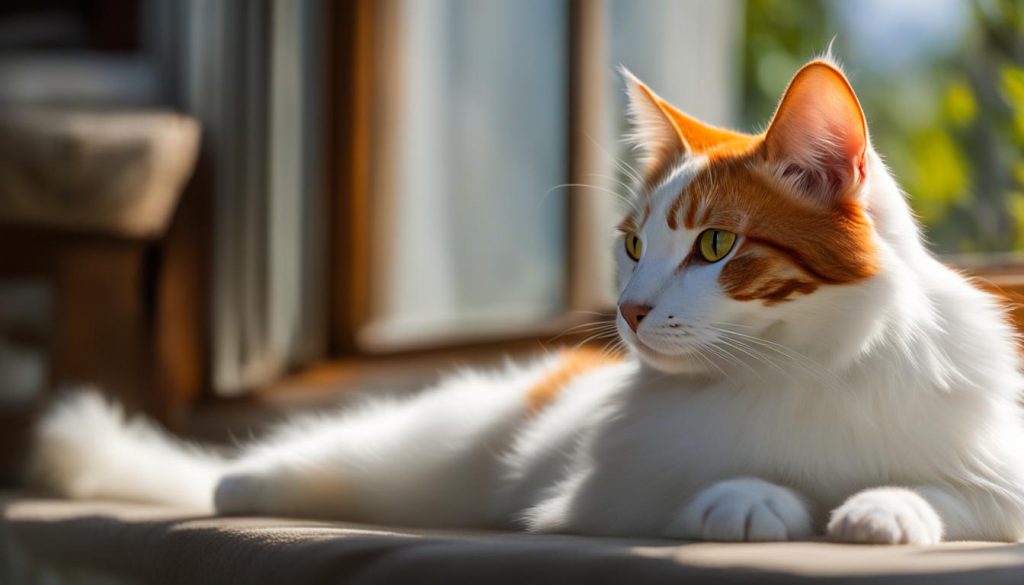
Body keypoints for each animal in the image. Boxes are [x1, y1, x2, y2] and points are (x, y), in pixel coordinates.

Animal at [28, 56, 1024, 545]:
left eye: (714, 245)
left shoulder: (997, 472)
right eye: (633, 245)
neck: (798, 368)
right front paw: (755, 498)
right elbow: (707, 485)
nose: (628, 310)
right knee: (263, 467)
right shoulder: (603, 492)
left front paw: (886, 508)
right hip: (426, 453)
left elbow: (954, 493)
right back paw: (238, 479)